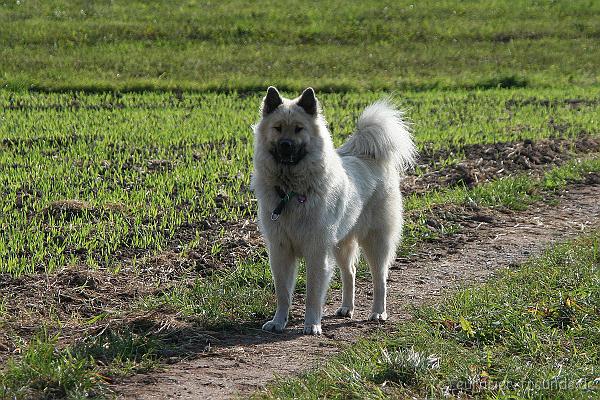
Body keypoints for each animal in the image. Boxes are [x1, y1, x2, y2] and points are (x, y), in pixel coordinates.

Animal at [251, 87, 414, 334]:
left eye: (299, 128)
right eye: (277, 128)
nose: (286, 145)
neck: (291, 190)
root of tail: (369, 157)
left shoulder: (317, 251)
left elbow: (312, 294)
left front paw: (312, 324)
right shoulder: (280, 251)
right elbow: (283, 293)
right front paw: (279, 321)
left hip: (375, 241)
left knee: (380, 278)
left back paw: (378, 312)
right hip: (340, 244)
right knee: (350, 273)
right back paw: (347, 308)